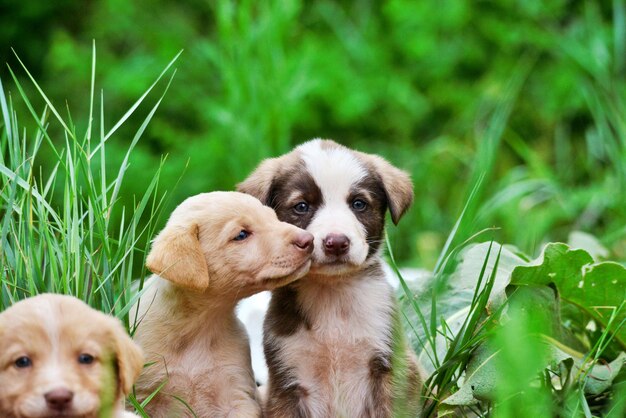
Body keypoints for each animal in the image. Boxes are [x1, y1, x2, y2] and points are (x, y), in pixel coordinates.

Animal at [135, 193, 314, 418]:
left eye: (272, 217)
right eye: (241, 234)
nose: (309, 240)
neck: (197, 329)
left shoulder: (237, 393)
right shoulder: (144, 395)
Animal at [239, 140, 424, 418]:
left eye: (358, 204)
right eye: (301, 206)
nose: (336, 242)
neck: (332, 296)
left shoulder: (391, 367)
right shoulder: (286, 383)